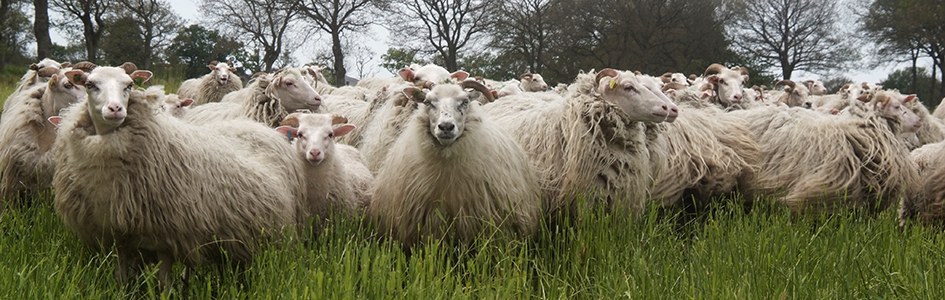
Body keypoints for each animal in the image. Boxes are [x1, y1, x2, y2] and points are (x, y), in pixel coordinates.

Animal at [51, 66, 304, 288]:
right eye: (90, 84)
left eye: (129, 85)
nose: (115, 109)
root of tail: (258, 128)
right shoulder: (119, 235)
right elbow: (123, 279)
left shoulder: (169, 236)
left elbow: (163, 284)